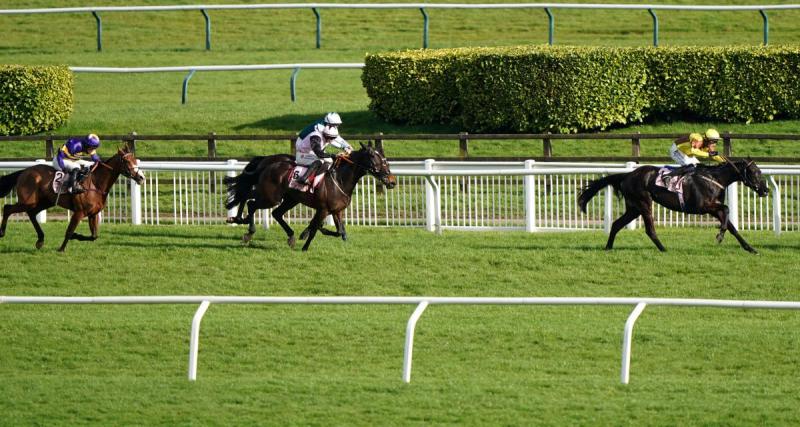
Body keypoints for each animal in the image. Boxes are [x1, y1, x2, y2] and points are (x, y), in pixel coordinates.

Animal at [0, 146, 145, 252]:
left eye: (135, 160)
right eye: (127, 161)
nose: (141, 177)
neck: (96, 184)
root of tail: (24, 172)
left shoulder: (93, 214)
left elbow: (94, 236)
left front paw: (77, 236)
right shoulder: (79, 212)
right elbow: (69, 231)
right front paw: (62, 248)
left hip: (44, 202)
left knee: (31, 213)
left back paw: (40, 240)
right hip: (28, 201)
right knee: (7, 208)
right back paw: (2, 232)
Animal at [223, 143, 398, 251]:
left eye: (385, 159)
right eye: (375, 158)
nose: (392, 181)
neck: (340, 180)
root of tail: (268, 163)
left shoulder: (336, 211)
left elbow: (339, 231)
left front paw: (314, 231)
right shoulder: (323, 209)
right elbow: (315, 229)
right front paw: (305, 246)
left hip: (289, 198)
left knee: (274, 211)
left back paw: (289, 236)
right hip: (271, 196)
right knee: (251, 202)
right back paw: (247, 228)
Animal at [580, 160, 772, 254]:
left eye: (760, 172)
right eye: (754, 172)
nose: (765, 190)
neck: (715, 178)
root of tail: (628, 175)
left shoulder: (713, 208)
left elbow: (732, 227)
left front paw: (750, 248)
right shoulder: (704, 206)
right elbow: (726, 209)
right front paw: (719, 236)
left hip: (633, 208)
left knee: (616, 224)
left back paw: (608, 247)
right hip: (643, 203)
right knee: (650, 229)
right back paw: (663, 249)